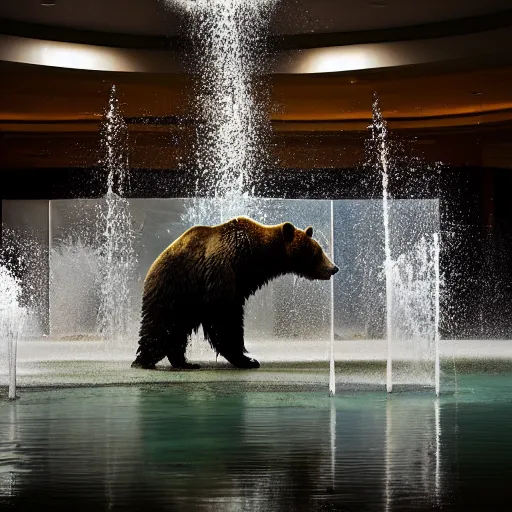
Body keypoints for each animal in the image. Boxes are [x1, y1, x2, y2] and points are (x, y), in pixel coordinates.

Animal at [132, 215, 338, 368]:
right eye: (317, 252)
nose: (333, 268)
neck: (255, 257)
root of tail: (152, 266)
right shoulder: (223, 271)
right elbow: (224, 316)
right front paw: (248, 359)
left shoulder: (241, 283)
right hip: (174, 287)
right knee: (160, 323)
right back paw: (144, 360)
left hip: (186, 299)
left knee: (178, 328)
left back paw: (183, 362)